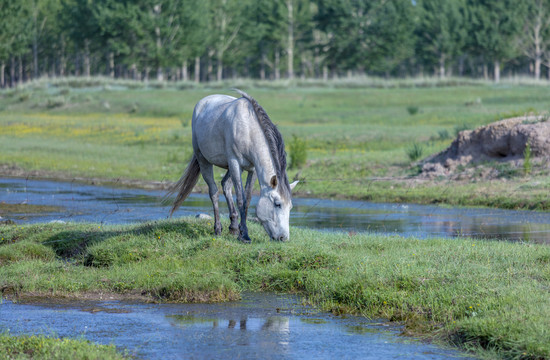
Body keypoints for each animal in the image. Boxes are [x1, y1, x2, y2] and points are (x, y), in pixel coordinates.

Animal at [167, 89, 298, 242]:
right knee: (214, 192)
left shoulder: (252, 169)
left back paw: (234, 227)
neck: (248, 130)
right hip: (204, 160)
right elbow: (241, 199)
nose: (284, 237)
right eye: (277, 204)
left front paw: (240, 231)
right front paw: (245, 235)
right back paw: (218, 229)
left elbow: (247, 199)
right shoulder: (235, 163)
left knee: (225, 185)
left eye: (290, 207)